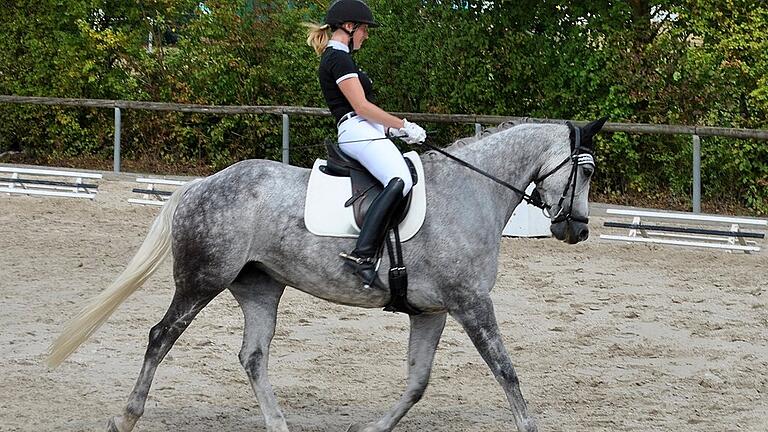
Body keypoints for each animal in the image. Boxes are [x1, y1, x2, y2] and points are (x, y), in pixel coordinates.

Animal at [49, 118, 608, 432]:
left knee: (252, 356)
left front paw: (372, 429)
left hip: (260, 287)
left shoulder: (432, 311)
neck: (472, 191)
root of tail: (200, 185)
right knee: (161, 337)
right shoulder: (471, 303)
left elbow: (417, 382)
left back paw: (279, 425)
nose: (577, 229)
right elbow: (506, 370)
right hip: (201, 282)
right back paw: (126, 417)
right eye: (585, 171)